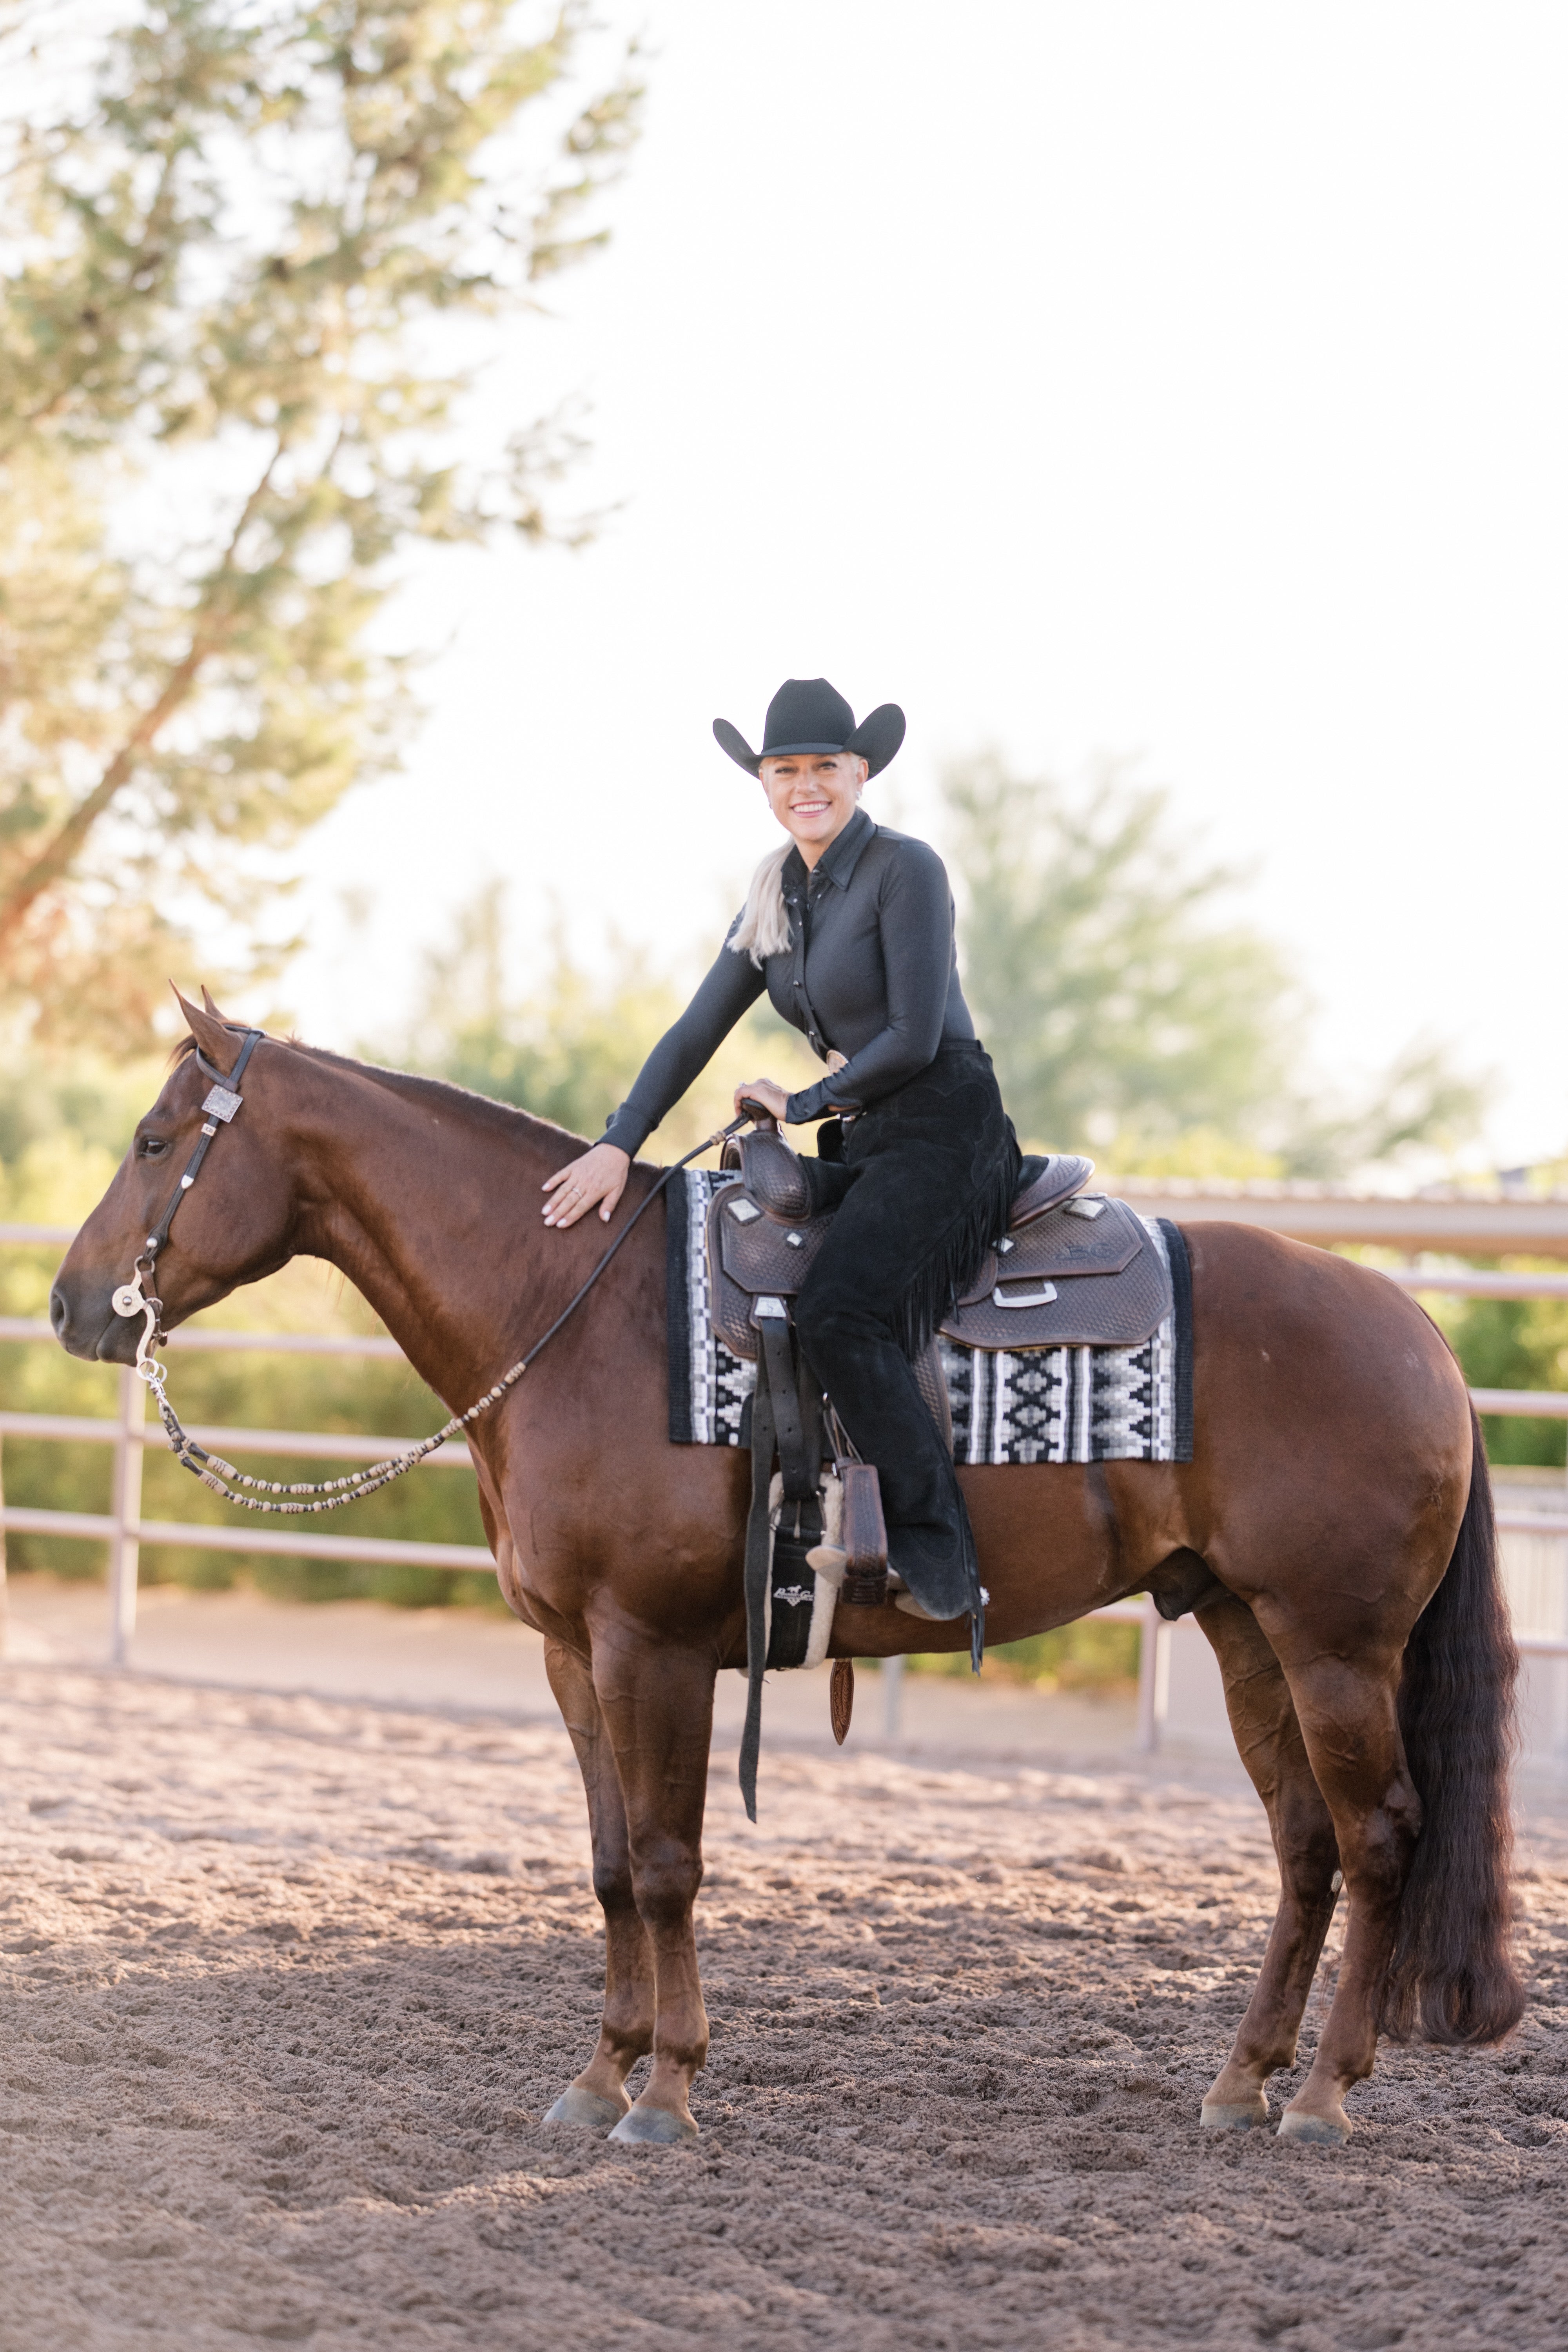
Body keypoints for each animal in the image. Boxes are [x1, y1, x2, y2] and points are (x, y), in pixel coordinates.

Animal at [46, 1002, 1523, 2145]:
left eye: (155, 1141)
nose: (67, 1303)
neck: (570, 1305)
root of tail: (1416, 1331)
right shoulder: (570, 1652)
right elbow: (605, 1864)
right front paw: (598, 2079)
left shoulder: (651, 1646)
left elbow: (665, 1861)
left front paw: (665, 2093)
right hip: (1240, 1628)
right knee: (1304, 1845)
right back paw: (1241, 2082)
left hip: (1334, 1644)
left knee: (1380, 1838)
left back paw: (1324, 2095)